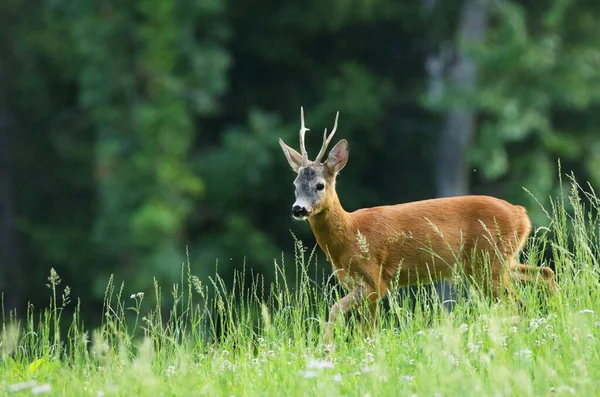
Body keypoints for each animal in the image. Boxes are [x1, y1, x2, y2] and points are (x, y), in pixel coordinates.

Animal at [278, 106, 560, 342]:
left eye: (319, 185)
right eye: (294, 185)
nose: (298, 209)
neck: (349, 233)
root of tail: (521, 215)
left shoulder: (374, 279)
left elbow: (343, 315)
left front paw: (328, 349)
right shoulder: (358, 283)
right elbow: (356, 324)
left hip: (488, 263)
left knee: (519, 303)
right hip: (498, 262)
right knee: (544, 274)